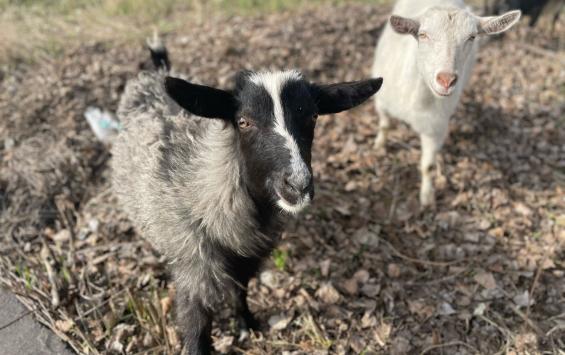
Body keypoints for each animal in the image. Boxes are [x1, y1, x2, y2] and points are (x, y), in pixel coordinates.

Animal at [372, 0, 524, 206]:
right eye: (422, 34)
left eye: (472, 37)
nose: (446, 80)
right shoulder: (382, 102)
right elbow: (385, 125)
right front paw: (379, 146)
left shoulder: (434, 128)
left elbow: (428, 166)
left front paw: (427, 197)